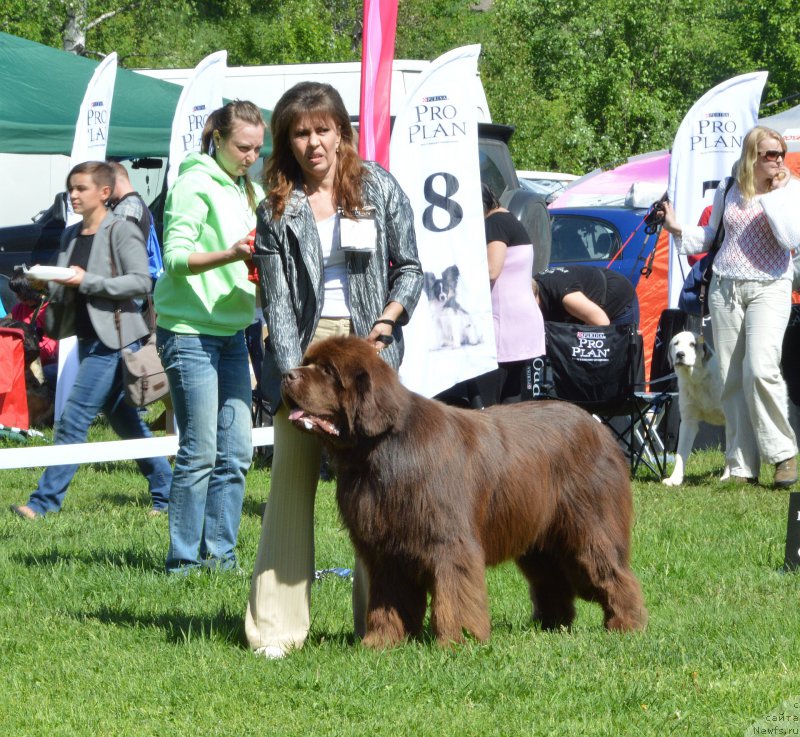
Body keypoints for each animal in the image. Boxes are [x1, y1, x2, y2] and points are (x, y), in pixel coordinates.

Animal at [282, 334, 644, 644]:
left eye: (328, 370)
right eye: (307, 361)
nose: (286, 375)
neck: (379, 450)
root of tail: (599, 428)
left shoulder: (448, 541)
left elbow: (455, 591)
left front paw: (459, 641)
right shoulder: (386, 548)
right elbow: (388, 598)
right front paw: (382, 642)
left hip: (587, 525)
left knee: (611, 571)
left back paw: (626, 624)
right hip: (538, 538)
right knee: (551, 579)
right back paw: (549, 625)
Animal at [660, 332, 728, 484]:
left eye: (692, 344)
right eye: (676, 343)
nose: (680, 354)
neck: (699, 380)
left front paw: (728, 476)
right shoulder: (688, 421)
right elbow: (681, 453)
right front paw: (675, 479)